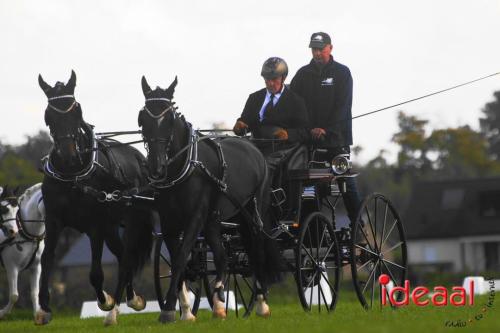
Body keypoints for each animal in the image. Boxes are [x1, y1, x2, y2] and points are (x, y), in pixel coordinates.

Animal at [0, 183, 45, 320]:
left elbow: (35, 292)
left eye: (17, 209)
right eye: (4, 210)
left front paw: (37, 314)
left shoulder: (36, 266)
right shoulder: (11, 266)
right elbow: (14, 295)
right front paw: (3, 312)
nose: (13, 232)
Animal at [36, 70, 152, 324]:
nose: (69, 155)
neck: (72, 175)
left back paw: (117, 308)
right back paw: (130, 299)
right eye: (49, 115)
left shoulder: (95, 225)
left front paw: (105, 300)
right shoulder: (54, 221)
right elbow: (46, 260)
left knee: (127, 257)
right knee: (122, 255)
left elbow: (96, 274)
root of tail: (140, 157)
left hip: (131, 221)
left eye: (76, 111)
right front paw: (43, 308)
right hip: (111, 227)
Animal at [138, 76, 282, 322]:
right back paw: (219, 303)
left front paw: (169, 309)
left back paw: (262, 303)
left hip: (255, 212)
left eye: (169, 120)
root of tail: (253, 147)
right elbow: (178, 262)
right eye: (143, 119)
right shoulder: (169, 221)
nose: (157, 168)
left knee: (257, 250)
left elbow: (181, 257)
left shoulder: (195, 217)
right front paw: (185, 311)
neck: (185, 165)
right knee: (223, 258)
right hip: (216, 219)